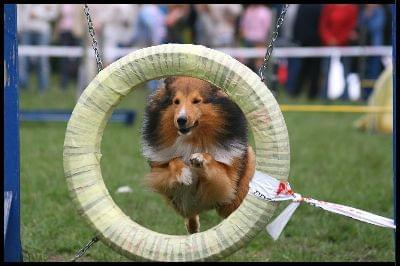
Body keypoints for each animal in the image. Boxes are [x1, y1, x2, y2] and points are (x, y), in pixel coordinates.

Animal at [141, 76, 256, 234]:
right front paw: (184, 174)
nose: (181, 120)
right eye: (176, 101)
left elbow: (214, 163)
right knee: (190, 214)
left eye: (196, 101)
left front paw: (199, 158)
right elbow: (173, 161)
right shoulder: (160, 173)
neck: (192, 138)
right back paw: (193, 227)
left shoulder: (226, 181)